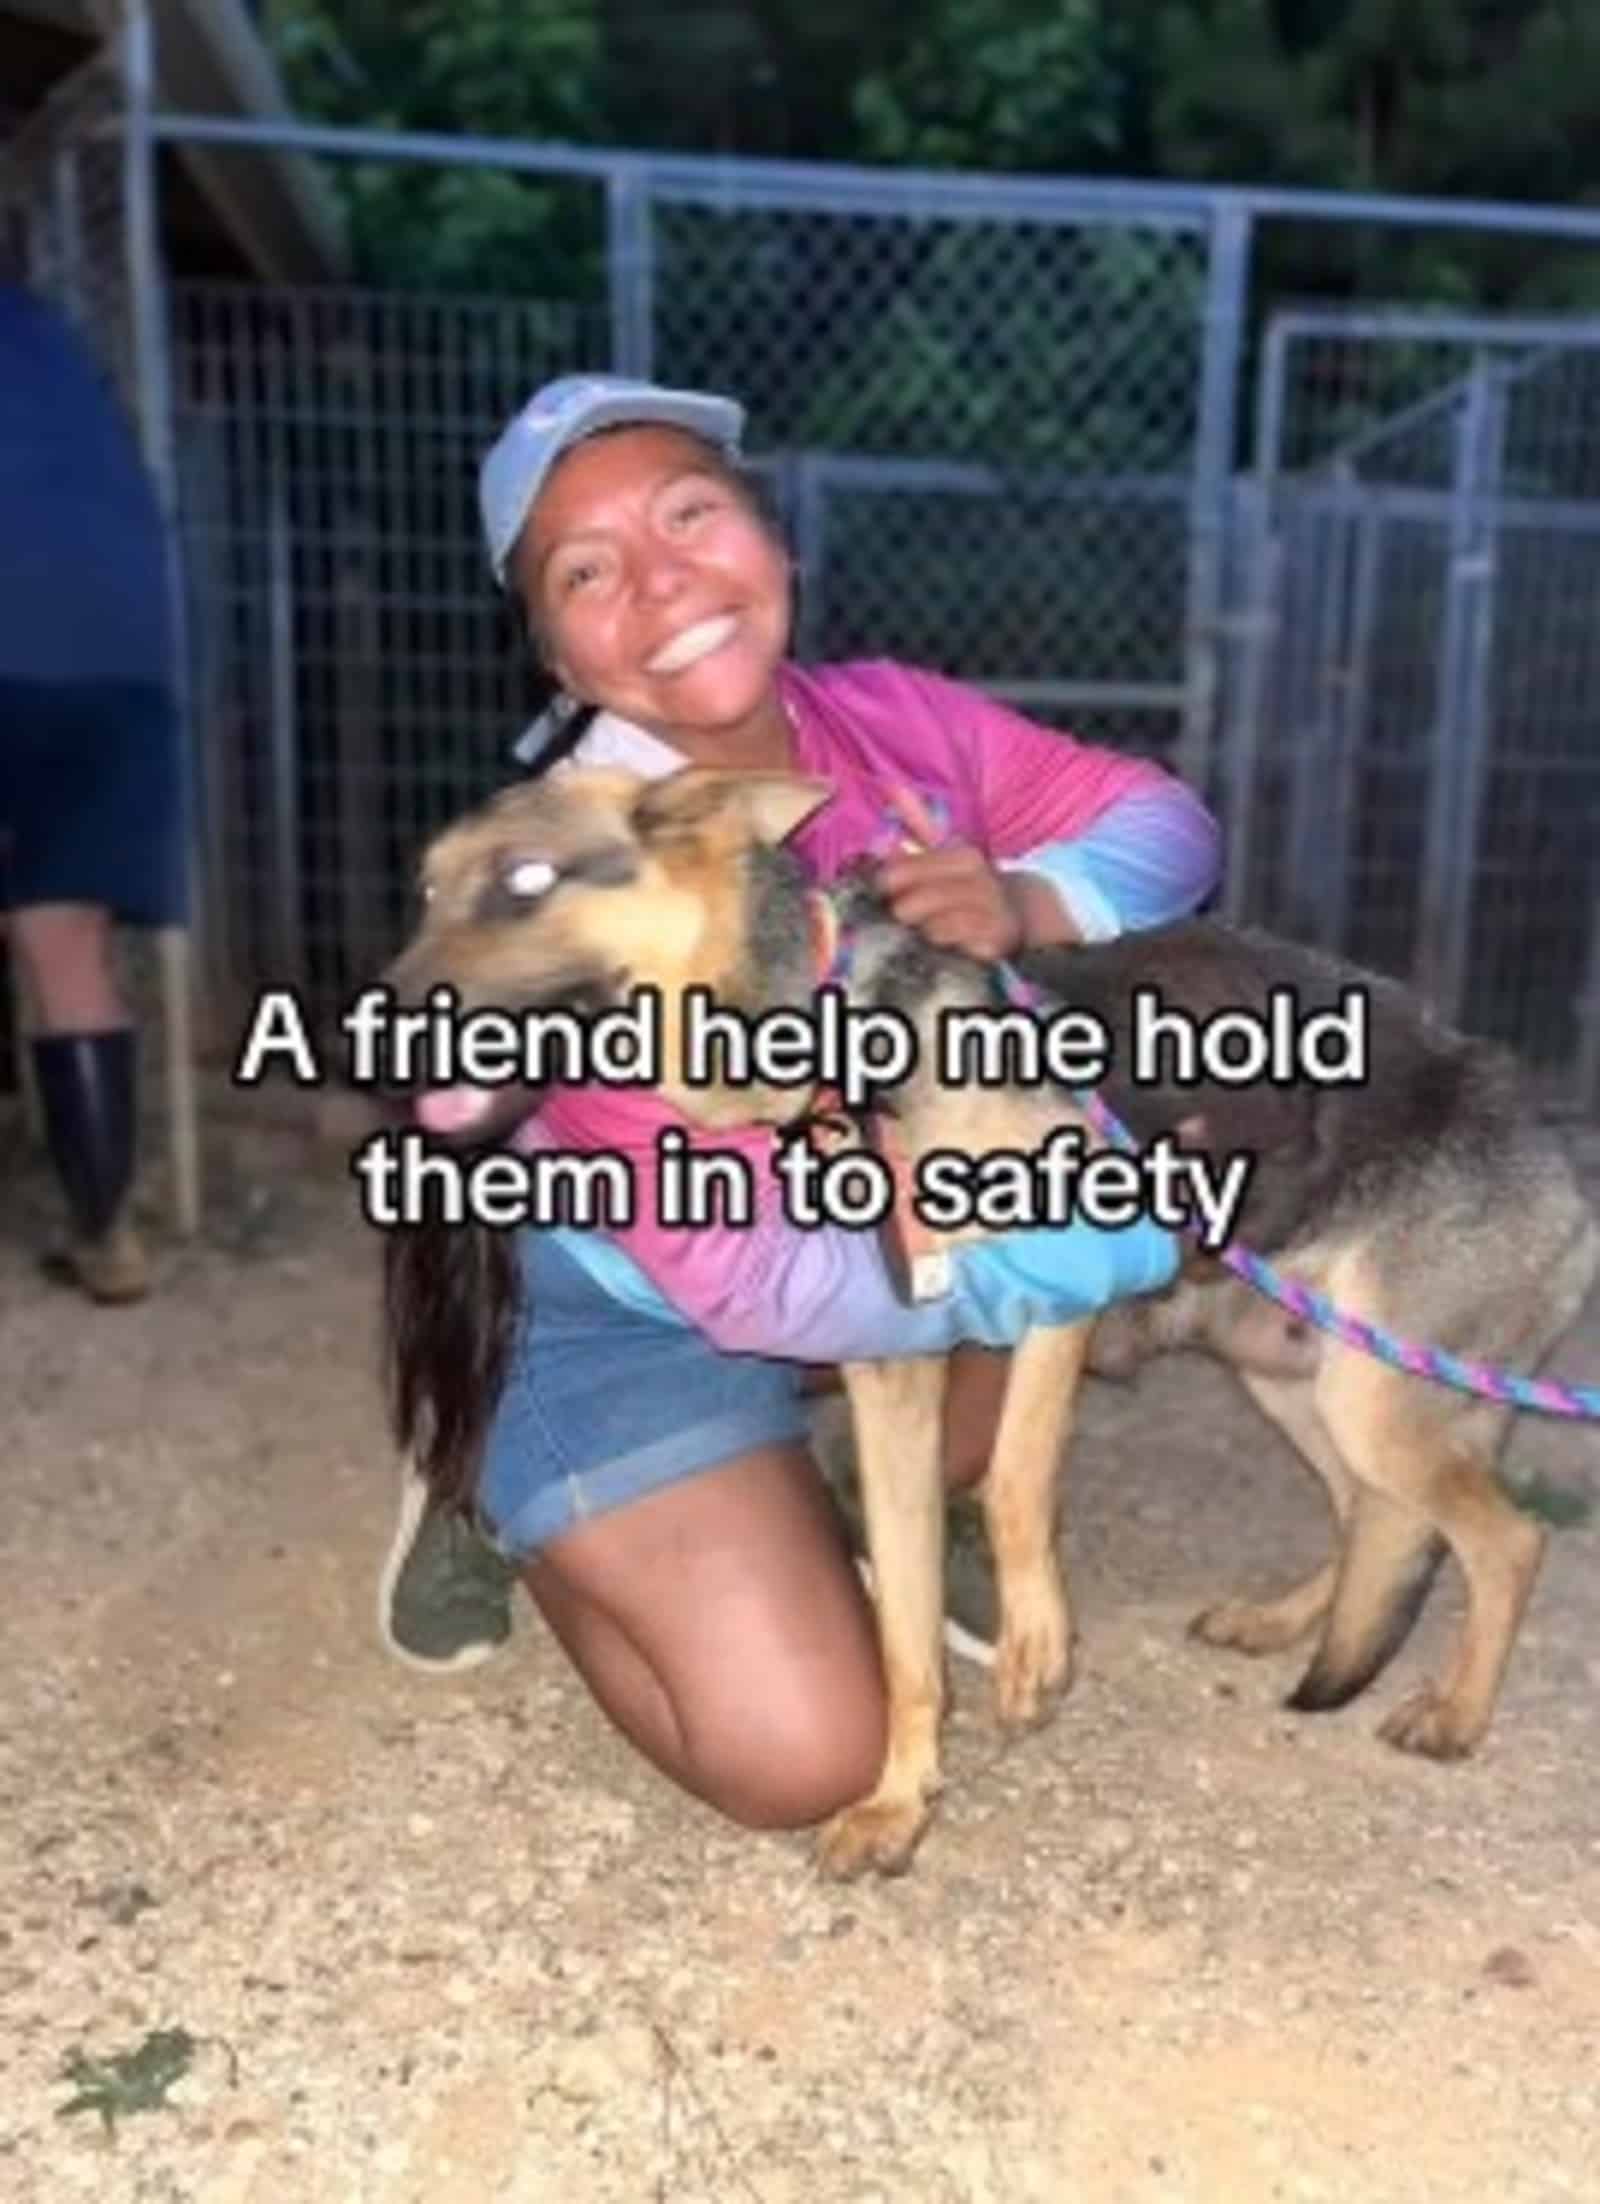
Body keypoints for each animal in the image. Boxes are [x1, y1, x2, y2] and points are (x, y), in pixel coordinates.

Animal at [379, 771, 1600, 1877]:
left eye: (527, 880)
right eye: (425, 888)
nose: (366, 1038)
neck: (833, 1033)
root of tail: (1545, 1132)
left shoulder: (1064, 1282)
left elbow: (1014, 1484)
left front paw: (1032, 1647)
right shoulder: (891, 1366)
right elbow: (904, 1630)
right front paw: (900, 1798)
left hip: (1373, 1398)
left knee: (1501, 1538)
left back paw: (1454, 1712)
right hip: (1304, 1383)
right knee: (1373, 1520)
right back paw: (1286, 1624)